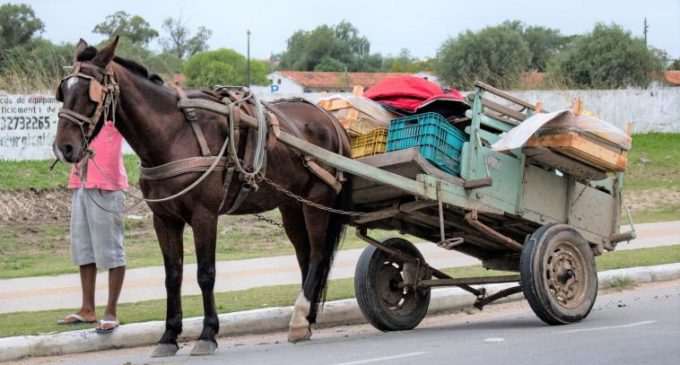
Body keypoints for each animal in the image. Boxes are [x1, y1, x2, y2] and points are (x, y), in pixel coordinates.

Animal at [51, 37, 350, 356]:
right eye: (63, 92)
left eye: (89, 93)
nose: (64, 147)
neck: (174, 134)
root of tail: (330, 119)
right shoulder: (164, 219)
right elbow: (173, 276)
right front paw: (169, 335)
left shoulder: (204, 215)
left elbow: (206, 273)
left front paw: (208, 333)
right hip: (292, 206)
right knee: (305, 255)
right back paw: (306, 318)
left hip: (317, 202)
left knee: (318, 254)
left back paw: (300, 317)